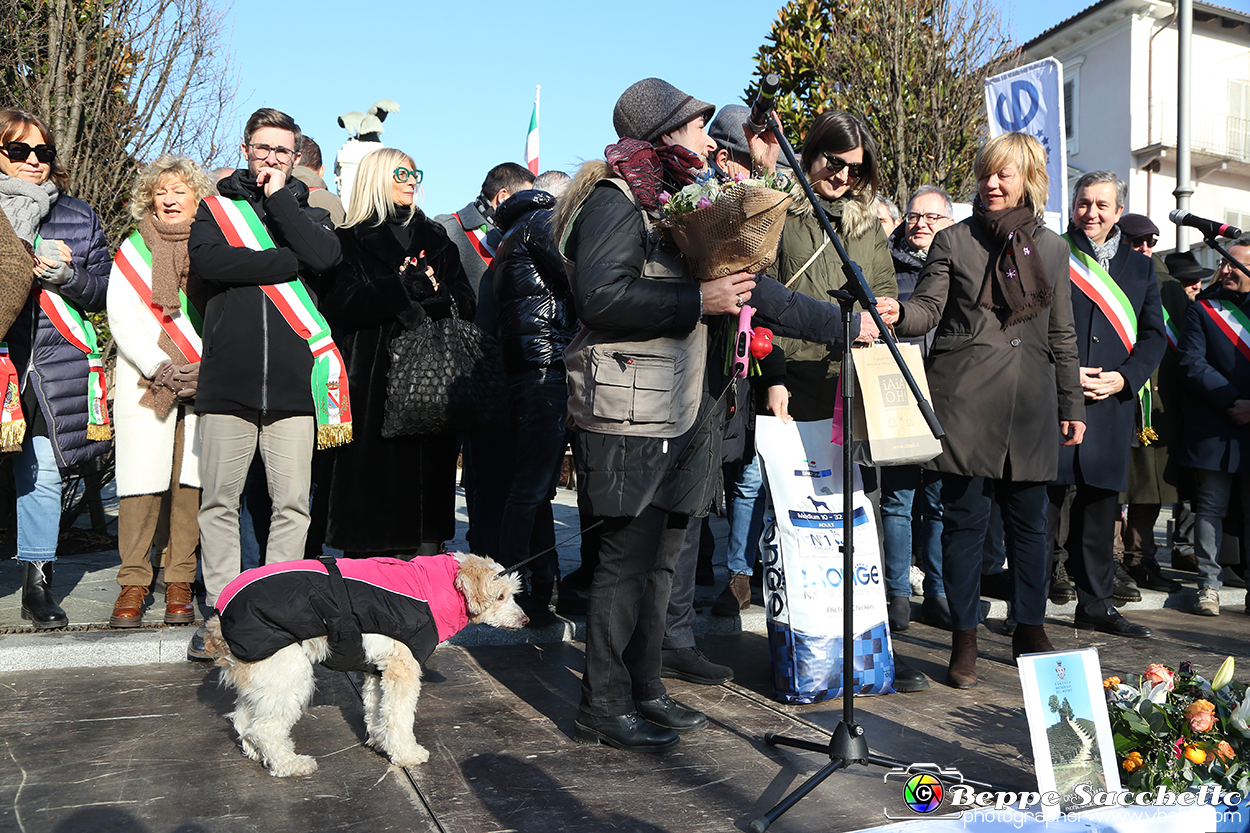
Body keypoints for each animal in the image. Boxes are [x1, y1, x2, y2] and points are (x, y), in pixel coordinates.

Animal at [202, 550, 525, 770]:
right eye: (500, 596)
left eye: (512, 595)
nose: (526, 620)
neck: (434, 586)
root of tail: (219, 616)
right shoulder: (402, 668)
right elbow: (399, 716)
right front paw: (406, 753)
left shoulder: (378, 670)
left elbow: (379, 710)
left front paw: (382, 742)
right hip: (288, 675)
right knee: (264, 728)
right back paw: (289, 764)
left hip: (265, 678)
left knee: (245, 721)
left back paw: (259, 754)